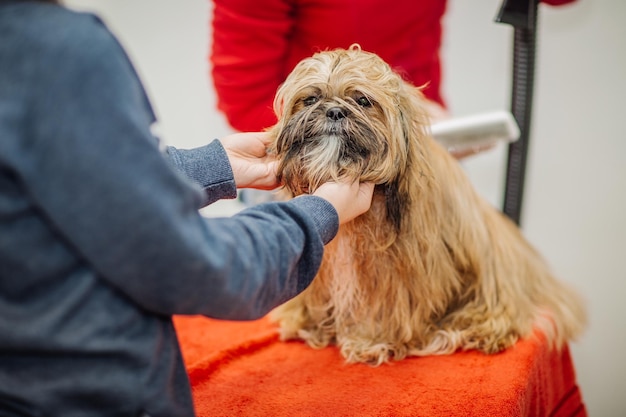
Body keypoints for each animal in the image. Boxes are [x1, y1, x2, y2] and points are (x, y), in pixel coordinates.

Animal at [266, 44, 584, 364]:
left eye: (362, 100)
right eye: (310, 99)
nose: (334, 111)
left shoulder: (400, 271)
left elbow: (385, 306)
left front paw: (372, 340)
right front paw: (310, 323)